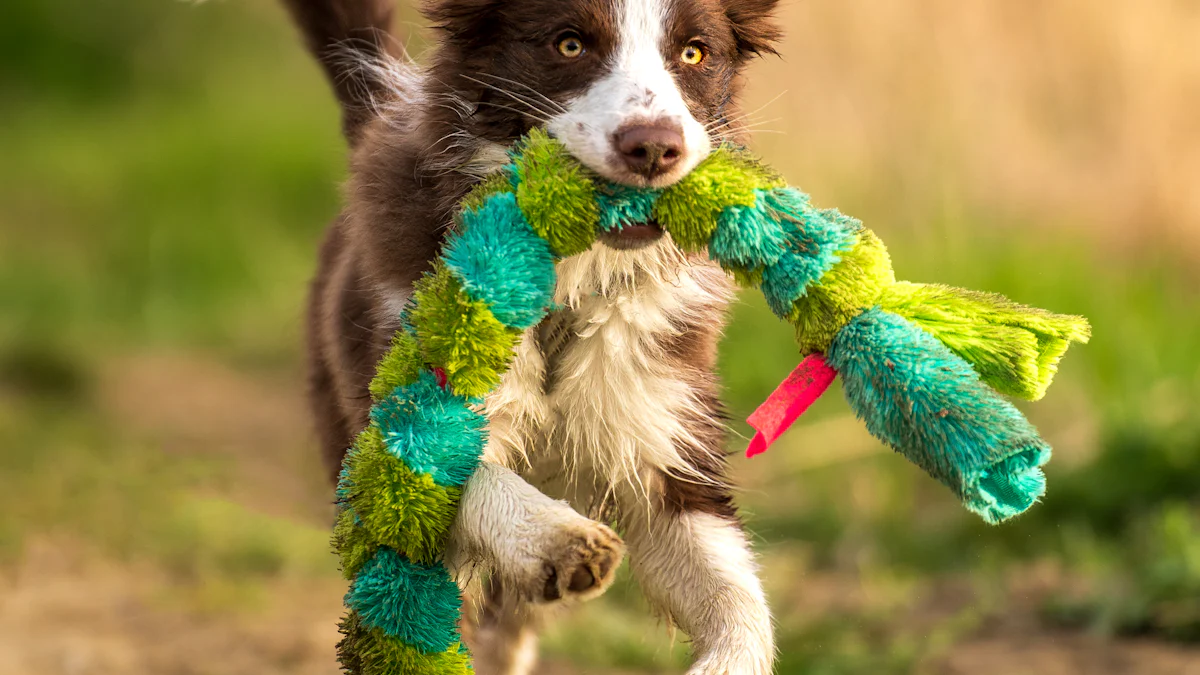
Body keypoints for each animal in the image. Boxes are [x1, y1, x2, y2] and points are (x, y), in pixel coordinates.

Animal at [284, 2, 782, 667]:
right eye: (569, 44)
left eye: (694, 52)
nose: (654, 147)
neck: (563, 297)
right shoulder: (398, 398)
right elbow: (460, 474)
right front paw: (559, 540)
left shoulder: (662, 422)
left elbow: (737, 605)